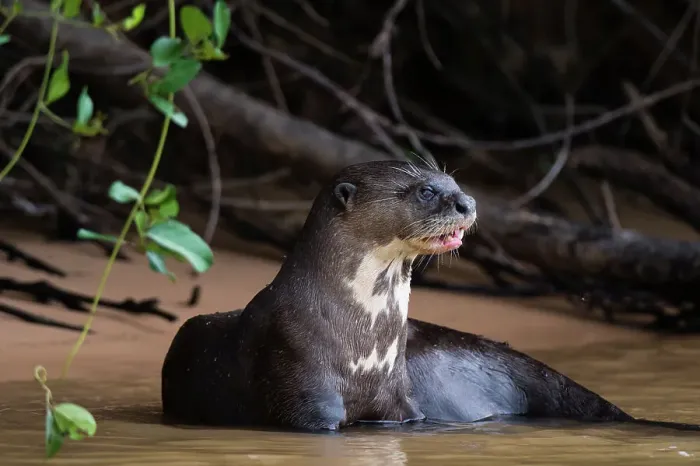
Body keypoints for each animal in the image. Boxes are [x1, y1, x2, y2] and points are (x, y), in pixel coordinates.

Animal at [161, 160, 700, 432]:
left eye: (454, 183)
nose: (469, 202)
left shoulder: (399, 406)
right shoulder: (302, 392)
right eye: (424, 191)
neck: (362, 342)